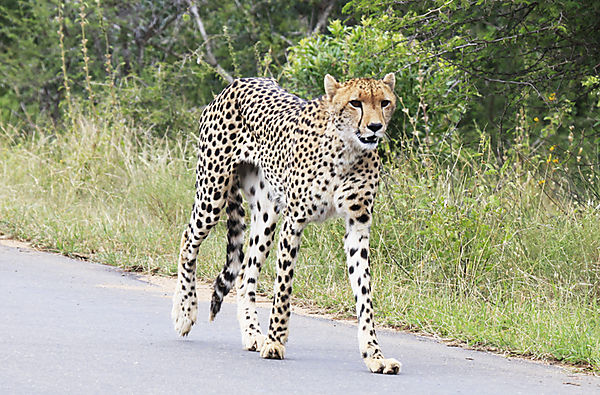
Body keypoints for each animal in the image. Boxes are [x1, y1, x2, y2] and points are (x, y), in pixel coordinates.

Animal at [171, 73, 400, 374]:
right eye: (355, 103)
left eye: (384, 102)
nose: (375, 126)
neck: (348, 148)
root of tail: (239, 81)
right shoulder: (294, 221)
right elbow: (283, 288)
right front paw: (275, 343)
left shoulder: (357, 226)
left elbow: (365, 297)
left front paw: (375, 355)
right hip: (212, 195)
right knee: (188, 239)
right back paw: (185, 311)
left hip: (266, 213)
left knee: (245, 273)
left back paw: (252, 334)